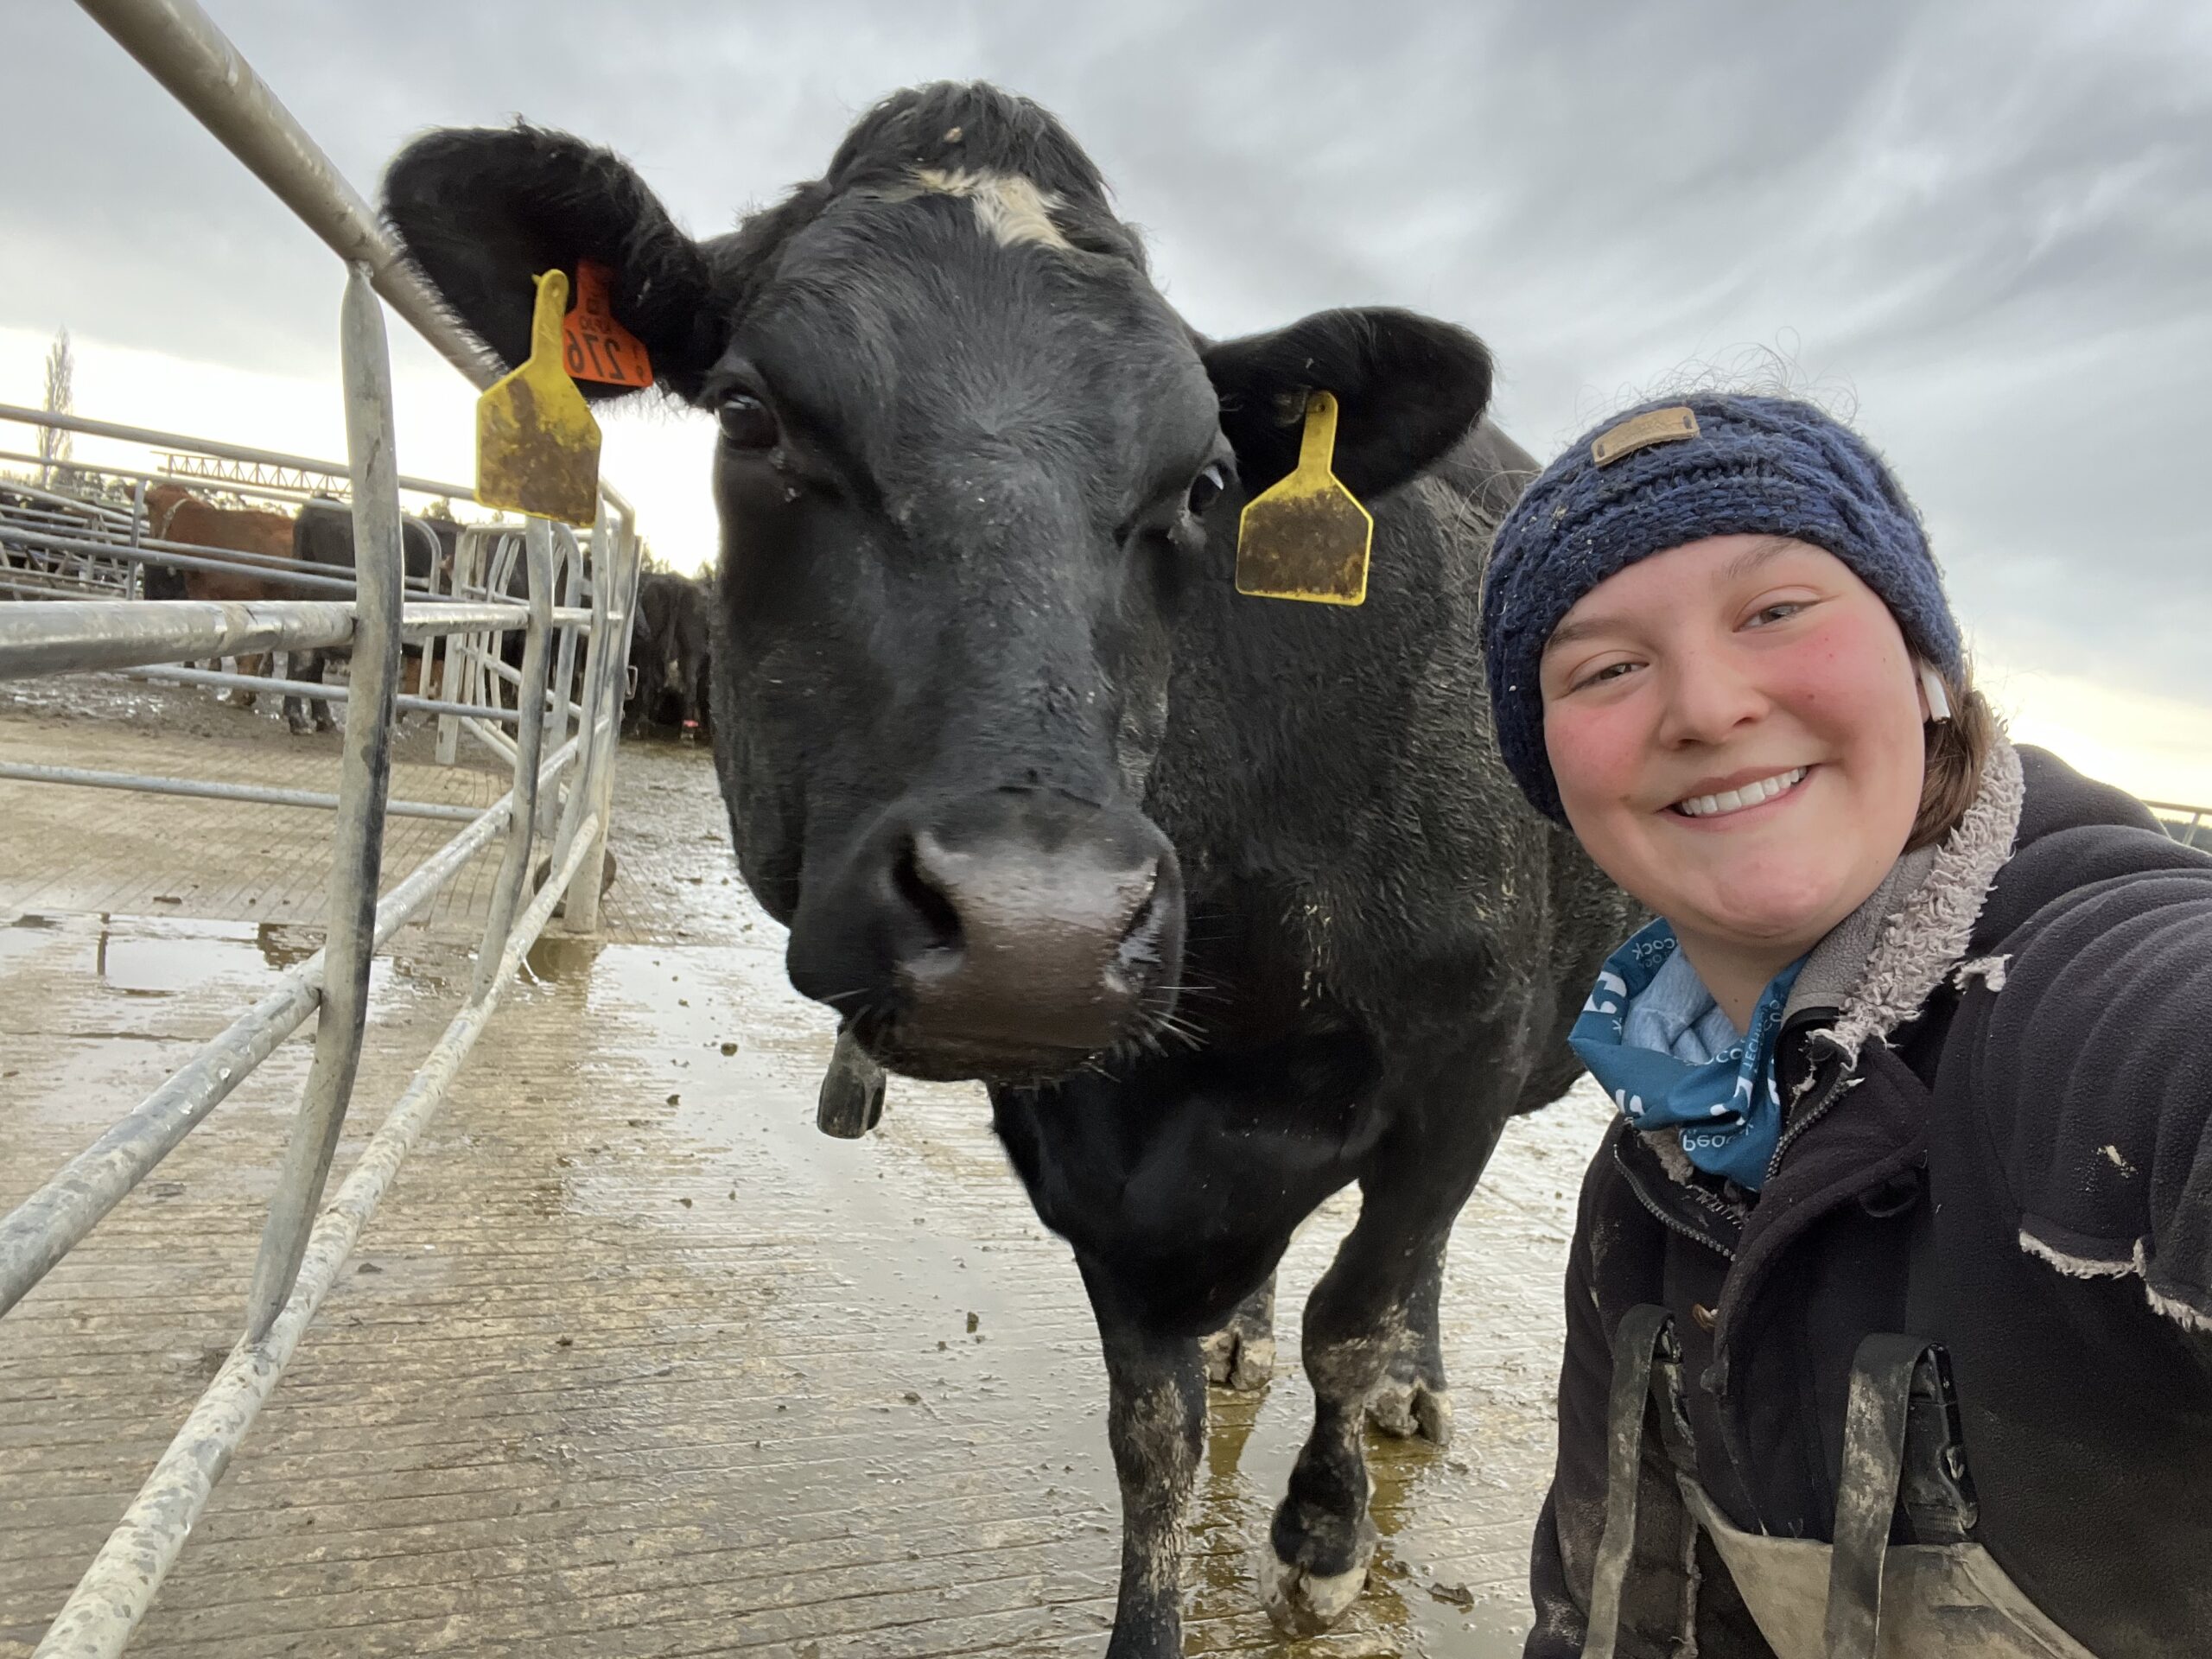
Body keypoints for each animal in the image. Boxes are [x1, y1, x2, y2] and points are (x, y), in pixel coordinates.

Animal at [385, 87, 1628, 1659]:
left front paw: (1326, 1532)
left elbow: (1360, 1313)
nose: (1039, 926)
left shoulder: (1463, 1053)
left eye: (1205, 482)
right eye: (749, 416)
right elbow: (1151, 1432)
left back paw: (1411, 1384)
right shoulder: (1078, 1140)